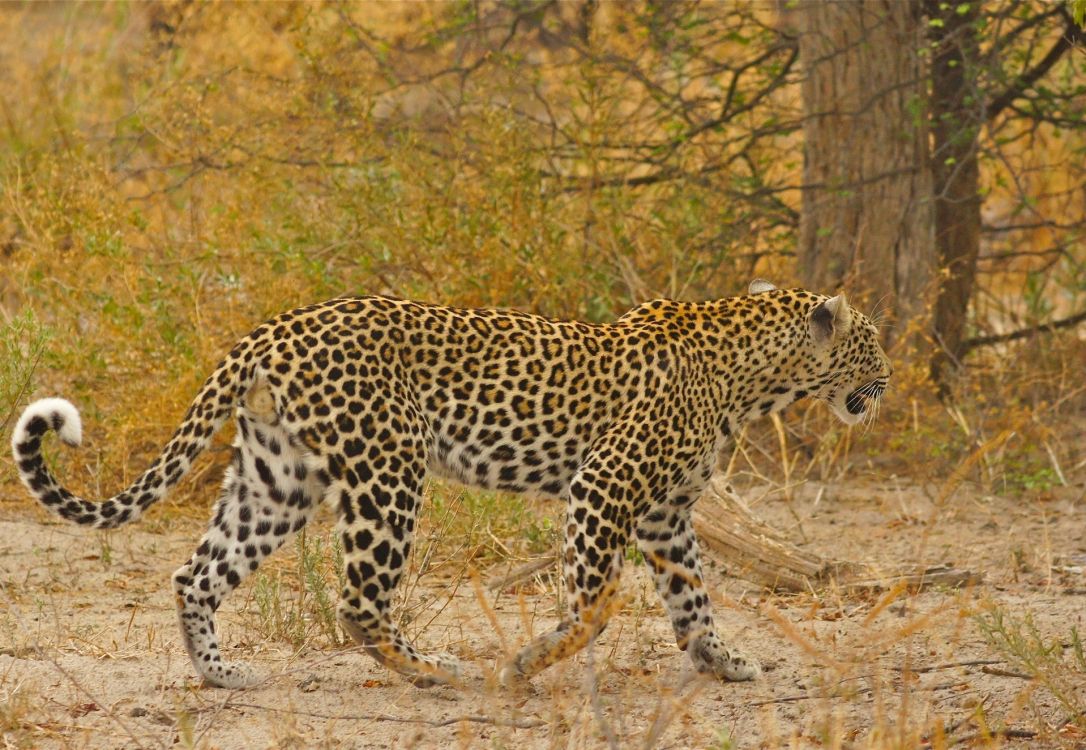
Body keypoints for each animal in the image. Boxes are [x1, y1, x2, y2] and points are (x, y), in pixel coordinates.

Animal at [11, 278, 890, 689]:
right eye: (874, 345)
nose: (888, 383)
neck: (754, 376)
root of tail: (271, 327)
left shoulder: (667, 514)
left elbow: (693, 596)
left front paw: (722, 660)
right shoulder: (603, 488)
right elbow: (597, 603)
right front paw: (528, 664)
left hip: (277, 478)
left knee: (195, 573)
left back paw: (222, 675)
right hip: (388, 467)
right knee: (359, 602)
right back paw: (439, 672)